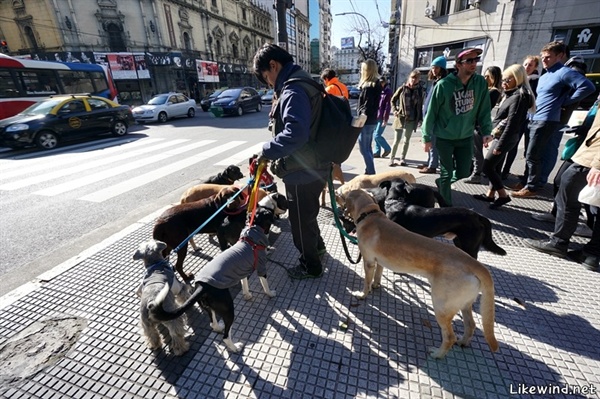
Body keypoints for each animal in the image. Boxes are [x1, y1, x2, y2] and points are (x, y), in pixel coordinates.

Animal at [342, 190, 496, 360]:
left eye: (344, 195)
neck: (370, 215)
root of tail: (473, 263)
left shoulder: (368, 261)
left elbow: (366, 282)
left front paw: (362, 294)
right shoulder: (379, 261)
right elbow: (378, 275)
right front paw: (376, 285)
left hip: (441, 305)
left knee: (449, 337)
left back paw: (437, 354)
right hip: (464, 303)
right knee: (470, 325)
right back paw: (463, 341)